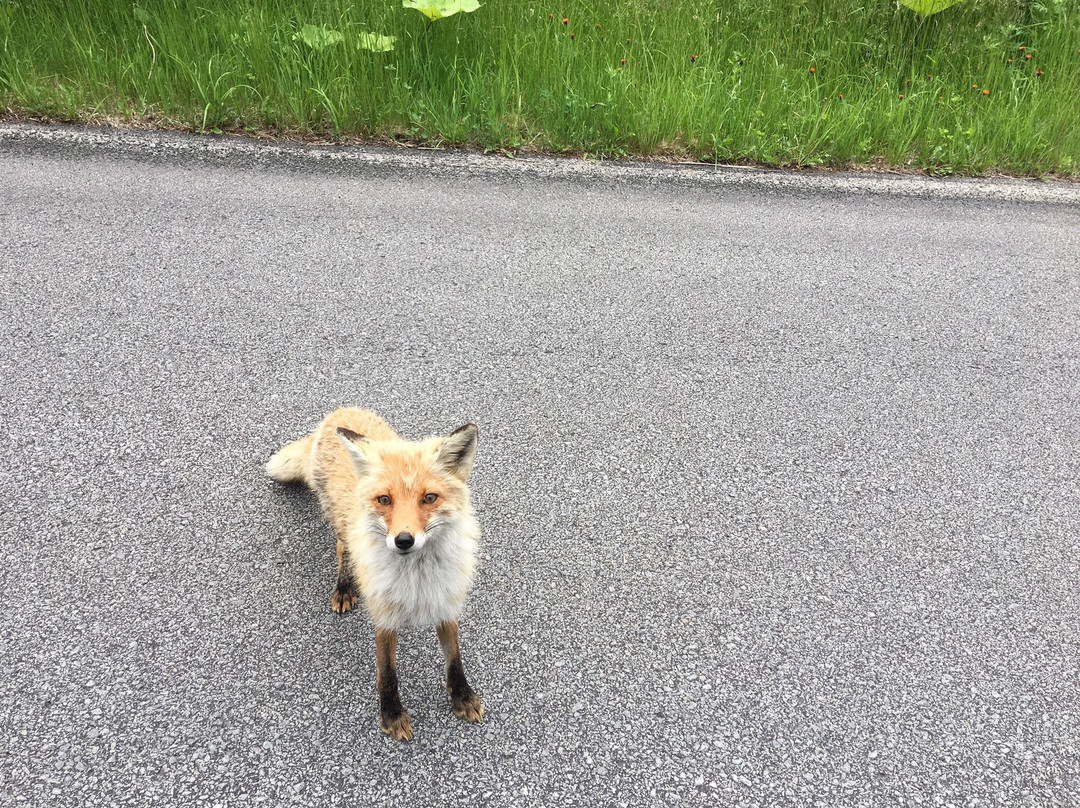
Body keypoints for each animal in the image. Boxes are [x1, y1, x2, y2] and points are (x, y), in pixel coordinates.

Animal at [263, 406, 483, 743]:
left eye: (429, 498)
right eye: (385, 500)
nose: (403, 540)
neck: (417, 579)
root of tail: (340, 411)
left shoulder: (446, 602)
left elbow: (454, 659)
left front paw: (462, 696)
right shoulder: (384, 614)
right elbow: (387, 673)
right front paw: (391, 715)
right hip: (340, 525)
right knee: (342, 549)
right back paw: (343, 588)